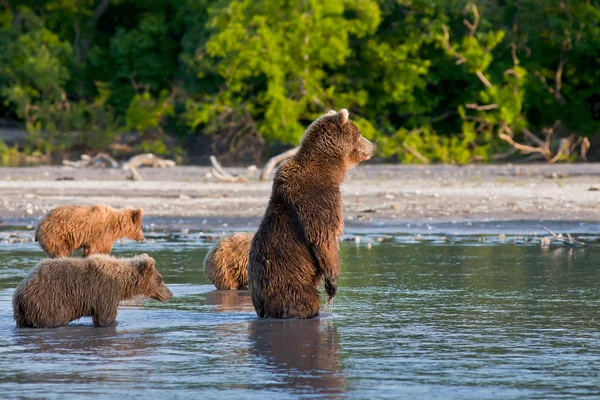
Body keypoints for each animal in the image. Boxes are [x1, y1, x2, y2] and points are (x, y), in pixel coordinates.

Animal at [12, 253, 172, 328]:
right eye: (161, 279)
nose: (170, 293)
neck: (122, 284)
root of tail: (20, 293)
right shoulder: (105, 291)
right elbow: (105, 317)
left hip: (23, 314)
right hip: (48, 303)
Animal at [248, 109, 376, 318]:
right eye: (358, 132)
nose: (373, 146)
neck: (330, 170)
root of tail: (263, 302)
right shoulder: (319, 199)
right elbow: (323, 237)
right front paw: (332, 284)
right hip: (291, 283)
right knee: (302, 302)